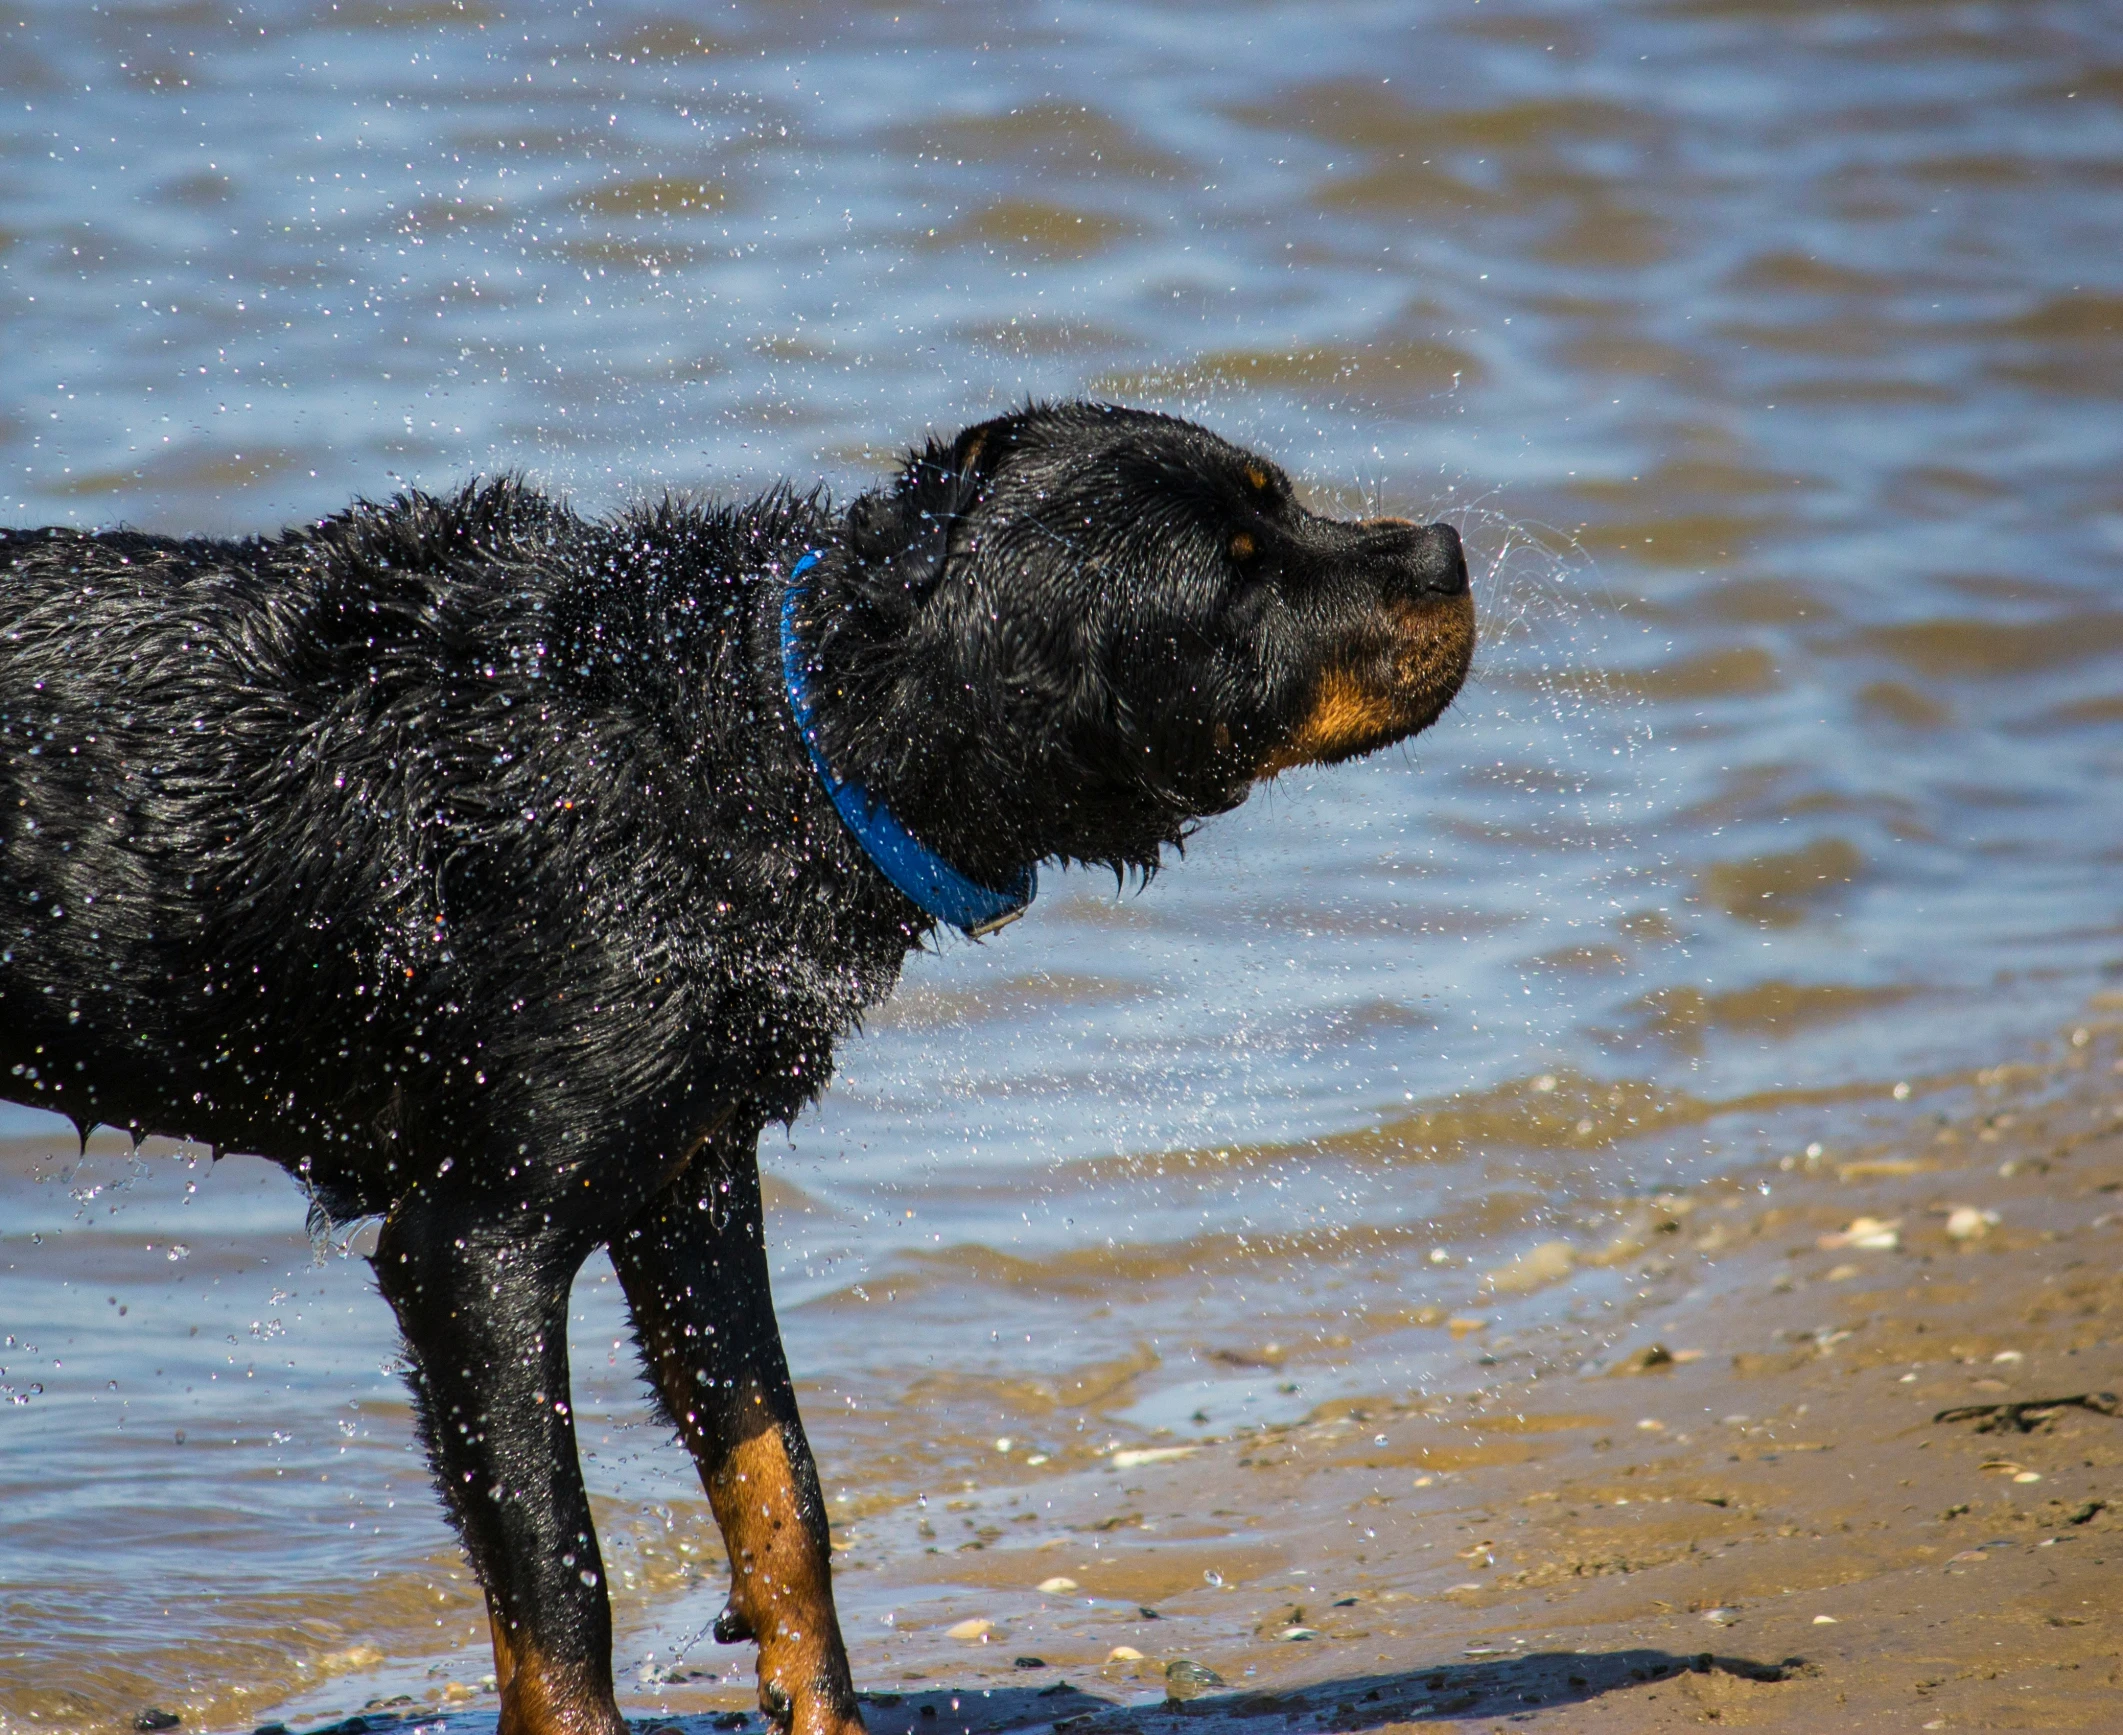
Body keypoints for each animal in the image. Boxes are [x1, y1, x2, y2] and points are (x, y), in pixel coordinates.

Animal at [0, 405, 1477, 1732]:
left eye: (1275, 498)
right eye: (1238, 567)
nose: (1448, 547)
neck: (754, 738)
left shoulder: (692, 1179)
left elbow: (781, 1486)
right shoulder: (471, 1247)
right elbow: (558, 1581)